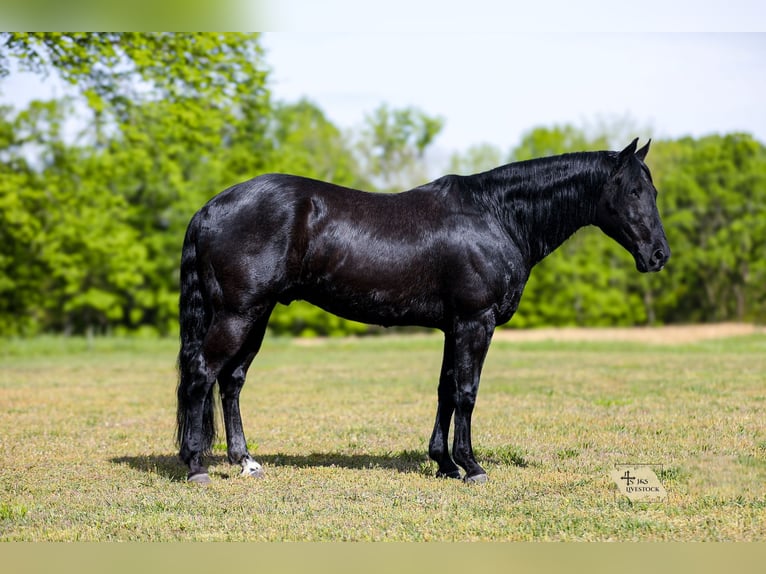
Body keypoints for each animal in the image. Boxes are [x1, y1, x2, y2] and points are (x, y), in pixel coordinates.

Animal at [176, 138, 669, 484]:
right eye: (631, 190)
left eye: (653, 191)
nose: (659, 255)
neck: (496, 215)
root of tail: (209, 208)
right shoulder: (475, 321)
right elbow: (467, 392)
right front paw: (472, 466)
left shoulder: (454, 327)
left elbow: (445, 390)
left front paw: (444, 463)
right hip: (238, 313)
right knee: (201, 373)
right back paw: (196, 464)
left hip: (256, 315)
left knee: (231, 381)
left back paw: (245, 461)